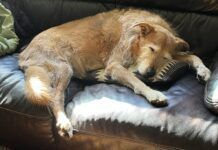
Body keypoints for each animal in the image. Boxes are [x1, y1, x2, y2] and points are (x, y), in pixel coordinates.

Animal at [19, 8, 211, 138]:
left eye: (164, 58)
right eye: (151, 49)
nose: (150, 73)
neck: (135, 42)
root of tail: (23, 54)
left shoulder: (175, 55)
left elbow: (193, 56)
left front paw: (204, 71)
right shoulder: (114, 66)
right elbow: (137, 80)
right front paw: (153, 93)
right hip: (64, 68)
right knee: (55, 97)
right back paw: (63, 122)